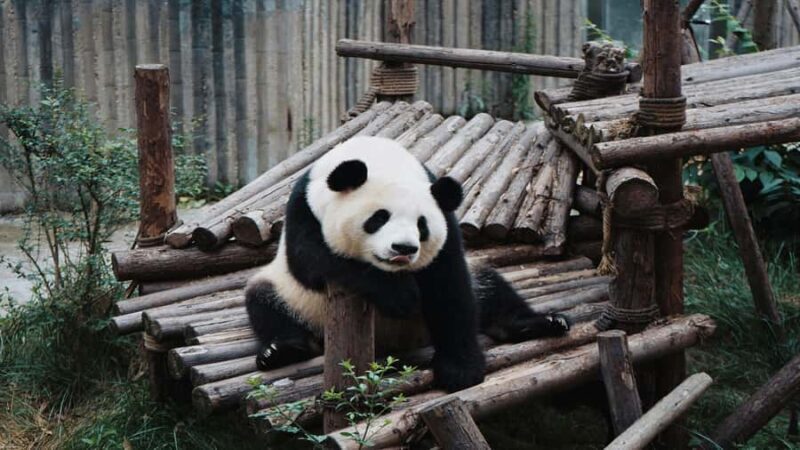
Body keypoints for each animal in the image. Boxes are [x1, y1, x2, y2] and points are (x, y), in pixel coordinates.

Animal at [245, 136, 570, 392]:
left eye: (421, 225)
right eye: (379, 218)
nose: (403, 248)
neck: (377, 156)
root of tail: (394, 343)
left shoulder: (446, 221)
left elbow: (450, 286)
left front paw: (461, 369)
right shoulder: (304, 208)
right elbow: (316, 262)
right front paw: (399, 296)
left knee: (491, 290)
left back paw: (541, 323)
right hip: (294, 298)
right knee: (264, 301)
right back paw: (280, 351)